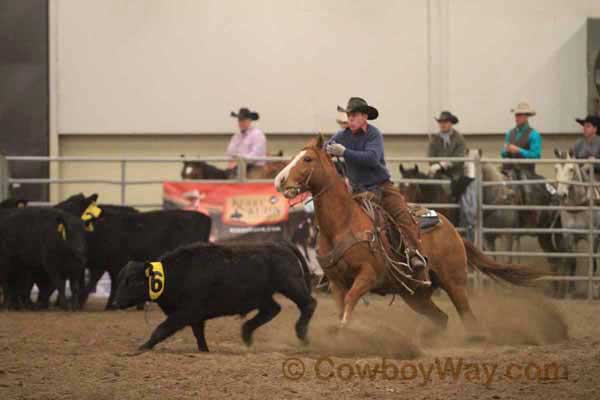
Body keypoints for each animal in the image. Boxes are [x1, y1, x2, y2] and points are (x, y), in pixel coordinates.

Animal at [114, 241, 316, 350]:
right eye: (121, 279)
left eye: (133, 281)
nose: (115, 302)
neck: (179, 272)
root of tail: (282, 245)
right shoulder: (195, 317)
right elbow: (199, 335)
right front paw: (204, 350)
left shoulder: (186, 312)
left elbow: (162, 329)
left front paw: (142, 347)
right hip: (263, 296)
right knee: (273, 309)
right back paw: (247, 334)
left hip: (291, 284)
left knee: (308, 304)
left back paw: (301, 333)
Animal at [276, 136, 544, 340]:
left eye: (307, 159)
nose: (280, 180)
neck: (342, 224)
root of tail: (451, 229)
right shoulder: (336, 282)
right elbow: (343, 306)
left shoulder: (368, 275)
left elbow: (352, 300)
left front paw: (342, 331)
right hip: (416, 294)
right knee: (442, 318)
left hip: (455, 283)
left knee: (467, 316)